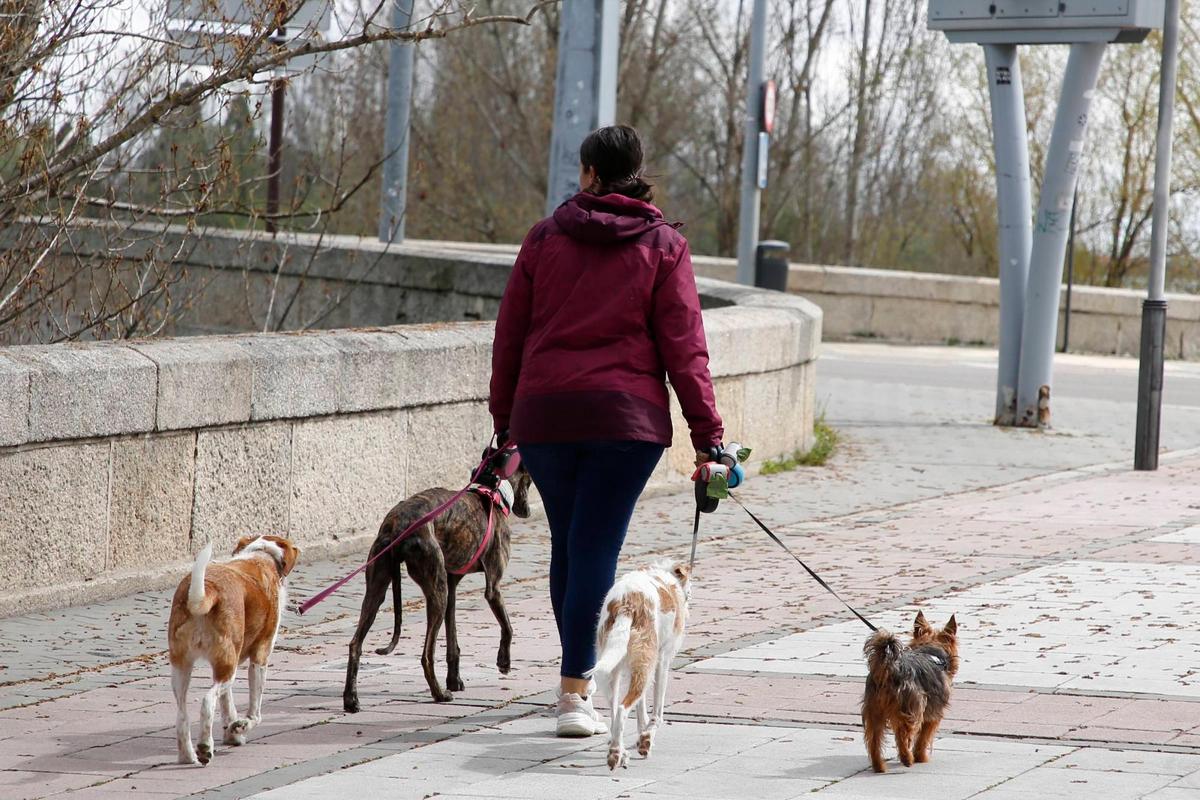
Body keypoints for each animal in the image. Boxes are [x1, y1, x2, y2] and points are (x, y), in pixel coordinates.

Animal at [168, 534, 298, 767]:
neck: (260, 556)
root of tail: (208, 588)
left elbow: (227, 704)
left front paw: (232, 733)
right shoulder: (260, 656)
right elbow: (255, 713)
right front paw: (242, 726)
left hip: (183, 667)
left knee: (182, 716)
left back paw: (187, 757)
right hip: (228, 666)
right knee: (207, 701)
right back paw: (205, 747)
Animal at [588, 561, 691, 772]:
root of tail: (626, 604)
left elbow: (641, 710)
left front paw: (640, 737)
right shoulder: (661, 662)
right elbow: (657, 714)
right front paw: (645, 740)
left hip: (611, 672)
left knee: (615, 713)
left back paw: (619, 751)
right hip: (645, 666)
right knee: (622, 709)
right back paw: (616, 753)